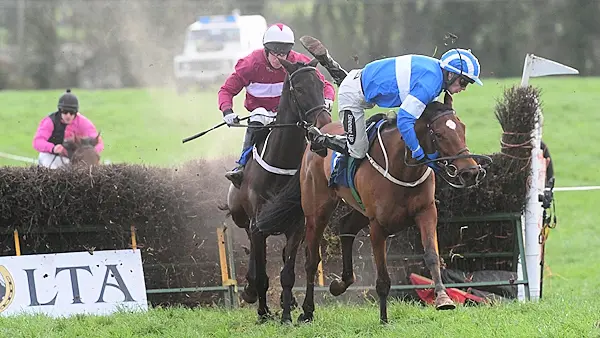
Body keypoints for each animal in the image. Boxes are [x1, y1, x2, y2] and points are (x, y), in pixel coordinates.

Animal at [220, 58, 332, 324]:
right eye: (299, 89)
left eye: (321, 85)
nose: (323, 121)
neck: (282, 163)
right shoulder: (257, 225)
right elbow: (261, 273)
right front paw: (262, 311)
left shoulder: (296, 226)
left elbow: (288, 272)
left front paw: (287, 315)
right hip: (243, 219)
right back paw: (252, 292)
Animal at [255, 91, 490, 324]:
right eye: (439, 134)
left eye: (462, 128)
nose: (470, 172)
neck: (403, 168)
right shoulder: (378, 225)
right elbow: (383, 276)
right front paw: (384, 319)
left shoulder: (426, 213)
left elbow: (431, 256)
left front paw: (443, 298)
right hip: (316, 211)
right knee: (312, 260)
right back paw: (307, 310)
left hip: (359, 210)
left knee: (345, 225)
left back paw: (340, 284)